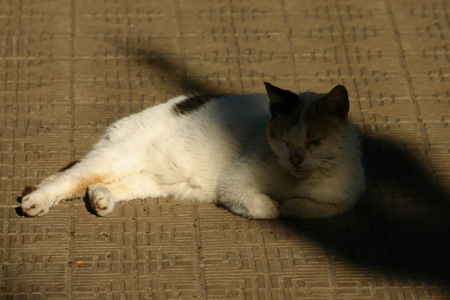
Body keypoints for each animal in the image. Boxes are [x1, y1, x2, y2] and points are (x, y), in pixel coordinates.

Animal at [20, 83, 366, 219]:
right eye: (283, 140)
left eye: (314, 142)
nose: (294, 158)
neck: (295, 179)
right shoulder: (233, 184)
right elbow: (265, 208)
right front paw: (277, 206)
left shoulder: (346, 198)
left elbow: (315, 207)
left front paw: (293, 205)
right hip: (117, 156)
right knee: (71, 178)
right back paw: (36, 202)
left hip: (149, 182)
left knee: (95, 184)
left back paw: (101, 199)